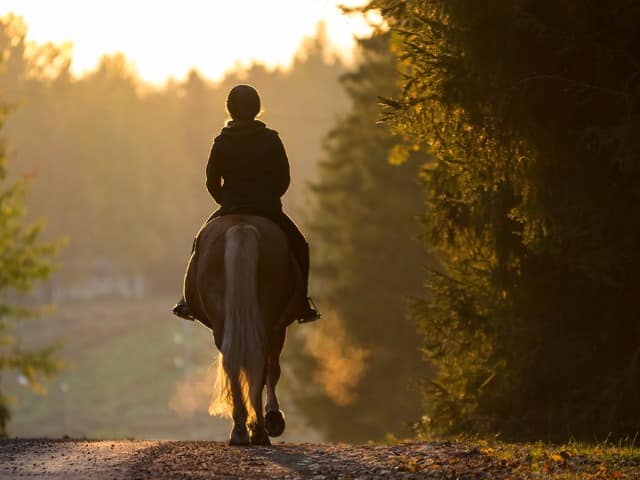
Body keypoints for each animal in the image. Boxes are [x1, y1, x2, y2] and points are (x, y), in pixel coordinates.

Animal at [184, 215, 304, 446]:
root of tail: (241, 227)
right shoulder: (279, 327)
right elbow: (274, 370)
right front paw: (273, 418)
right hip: (267, 320)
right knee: (260, 365)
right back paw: (258, 431)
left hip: (223, 319)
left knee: (233, 363)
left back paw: (240, 431)